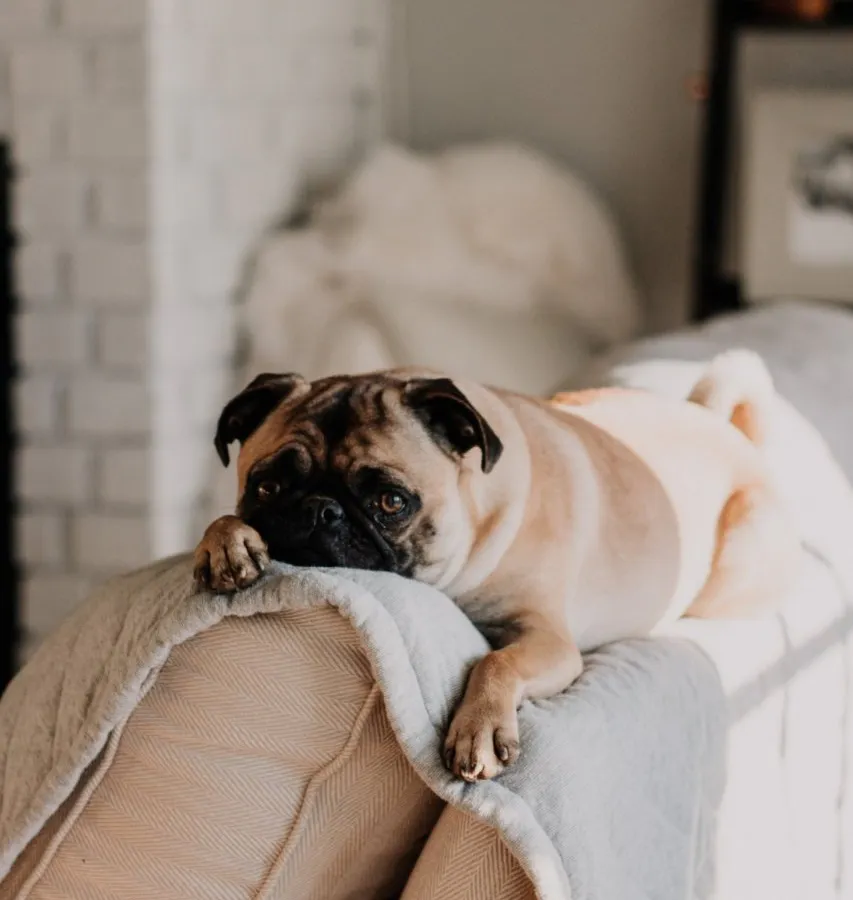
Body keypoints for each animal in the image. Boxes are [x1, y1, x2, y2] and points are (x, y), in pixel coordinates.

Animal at [193, 351, 801, 782]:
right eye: (267, 487)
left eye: (391, 502)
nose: (321, 511)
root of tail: (723, 427)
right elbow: (222, 520)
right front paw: (225, 542)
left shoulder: (549, 640)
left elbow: (496, 662)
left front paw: (479, 729)